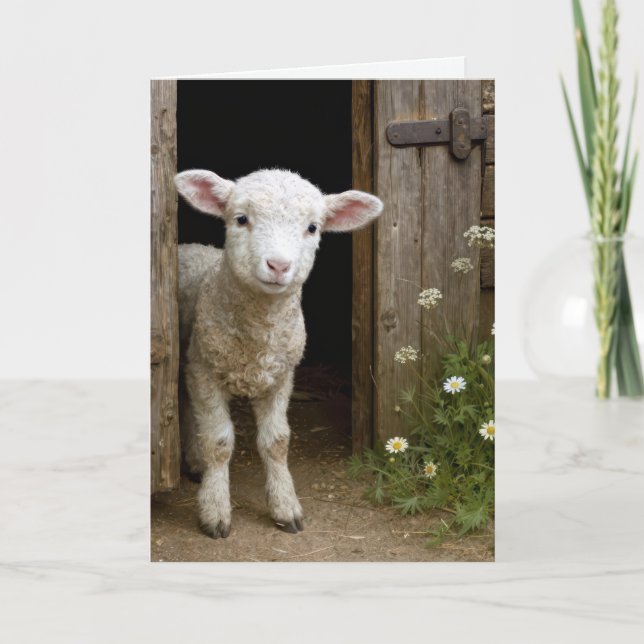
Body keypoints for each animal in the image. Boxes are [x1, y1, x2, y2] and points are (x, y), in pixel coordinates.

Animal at [174, 168, 383, 539]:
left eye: (313, 227)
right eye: (241, 219)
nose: (278, 265)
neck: (258, 336)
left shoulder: (281, 377)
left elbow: (277, 442)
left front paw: (285, 506)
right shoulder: (206, 370)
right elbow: (218, 442)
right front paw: (215, 509)